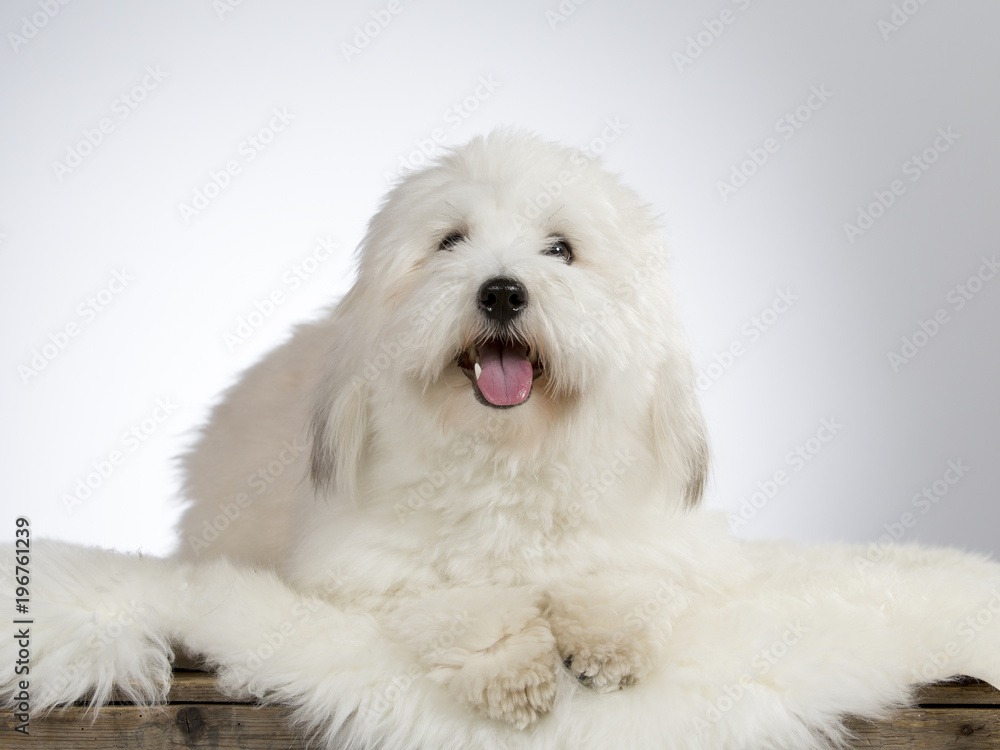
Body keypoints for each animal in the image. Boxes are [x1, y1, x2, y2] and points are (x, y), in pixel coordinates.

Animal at [1, 131, 1000, 750]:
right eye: (451, 241)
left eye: (561, 249)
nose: (502, 291)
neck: (511, 456)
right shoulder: (375, 570)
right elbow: (465, 606)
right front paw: (518, 673)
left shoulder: (658, 548)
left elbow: (619, 585)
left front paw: (605, 643)